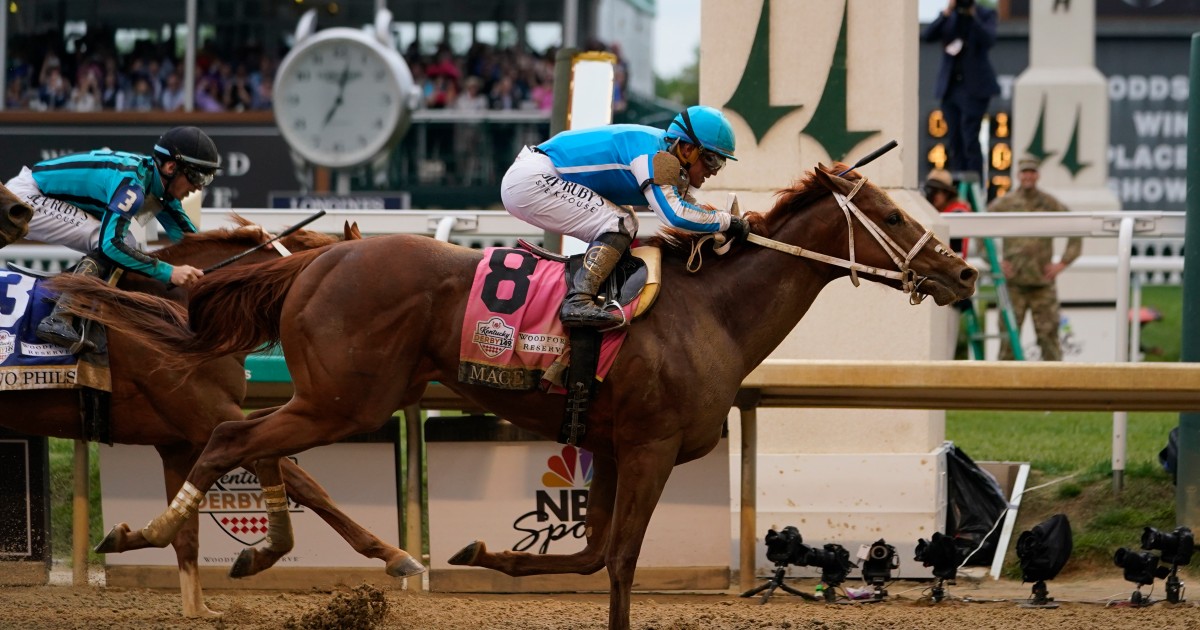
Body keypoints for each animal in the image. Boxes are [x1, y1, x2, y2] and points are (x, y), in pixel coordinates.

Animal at [1, 220, 424, 618]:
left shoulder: (178, 442)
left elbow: (187, 530)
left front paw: (196, 606)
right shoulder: (210, 419)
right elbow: (306, 484)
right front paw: (393, 554)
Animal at [51, 164, 978, 630]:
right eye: (898, 216)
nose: (963, 273)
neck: (708, 310)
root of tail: (317, 259)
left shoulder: (611, 444)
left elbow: (593, 554)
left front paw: (480, 552)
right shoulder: (650, 447)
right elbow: (620, 561)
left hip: (339, 400)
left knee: (249, 446)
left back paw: (248, 550)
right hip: (345, 401)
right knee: (228, 443)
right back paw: (149, 531)